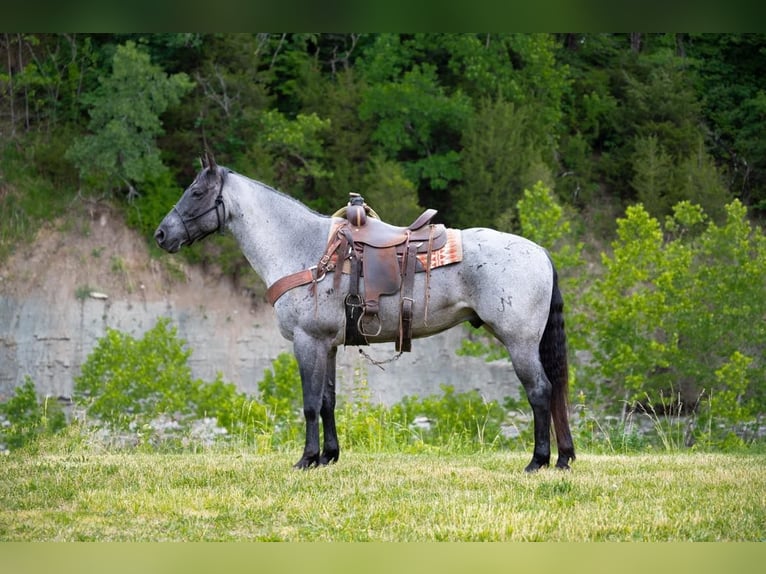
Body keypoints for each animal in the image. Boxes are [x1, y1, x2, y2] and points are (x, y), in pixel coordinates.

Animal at [154, 154, 576, 472]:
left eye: (196, 192)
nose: (161, 234)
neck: (304, 249)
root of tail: (540, 252)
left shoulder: (307, 342)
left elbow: (309, 404)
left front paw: (306, 459)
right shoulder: (326, 344)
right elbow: (327, 401)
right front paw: (328, 457)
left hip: (519, 343)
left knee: (540, 391)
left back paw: (538, 461)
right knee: (554, 391)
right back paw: (564, 458)